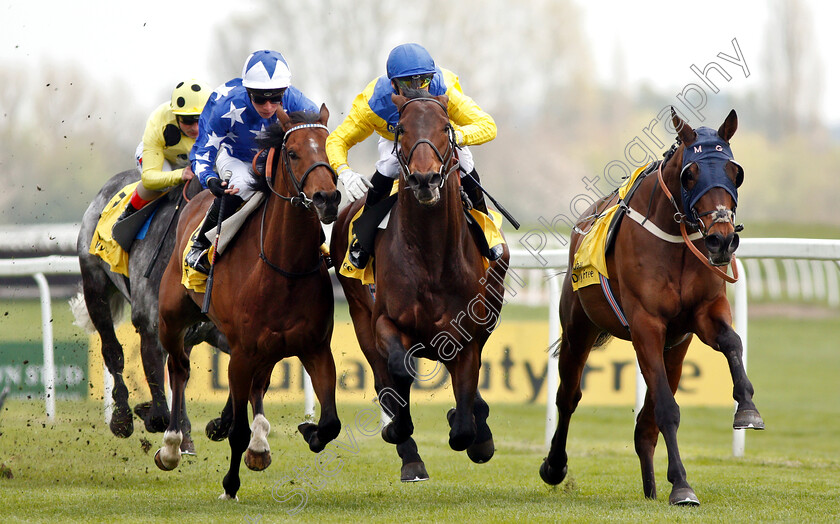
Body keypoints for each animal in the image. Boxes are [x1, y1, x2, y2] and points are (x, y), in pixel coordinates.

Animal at [156, 105, 342, 500]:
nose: (327, 199)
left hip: (267, 348)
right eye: (293, 153)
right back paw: (171, 446)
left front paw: (308, 430)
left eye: (328, 147)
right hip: (171, 318)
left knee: (259, 383)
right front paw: (230, 485)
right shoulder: (241, 353)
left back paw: (258, 444)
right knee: (178, 368)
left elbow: (331, 423)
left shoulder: (316, 348)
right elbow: (237, 429)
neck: (285, 267)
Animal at [332, 89, 508, 478]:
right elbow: (399, 371)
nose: (424, 180)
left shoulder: (467, 333)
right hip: (358, 313)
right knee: (384, 376)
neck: (431, 257)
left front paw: (474, 430)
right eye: (403, 129)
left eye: (445, 127)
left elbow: (464, 424)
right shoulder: (384, 321)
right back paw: (409, 454)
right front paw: (397, 428)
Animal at [540, 108, 764, 506]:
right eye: (690, 173)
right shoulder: (646, 323)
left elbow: (732, 342)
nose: (721, 239)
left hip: (675, 349)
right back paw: (555, 465)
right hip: (579, 328)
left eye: (734, 171)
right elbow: (667, 410)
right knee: (568, 396)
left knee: (645, 423)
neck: (675, 239)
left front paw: (747, 409)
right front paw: (683, 486)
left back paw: (650, 488)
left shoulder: (703, 312)